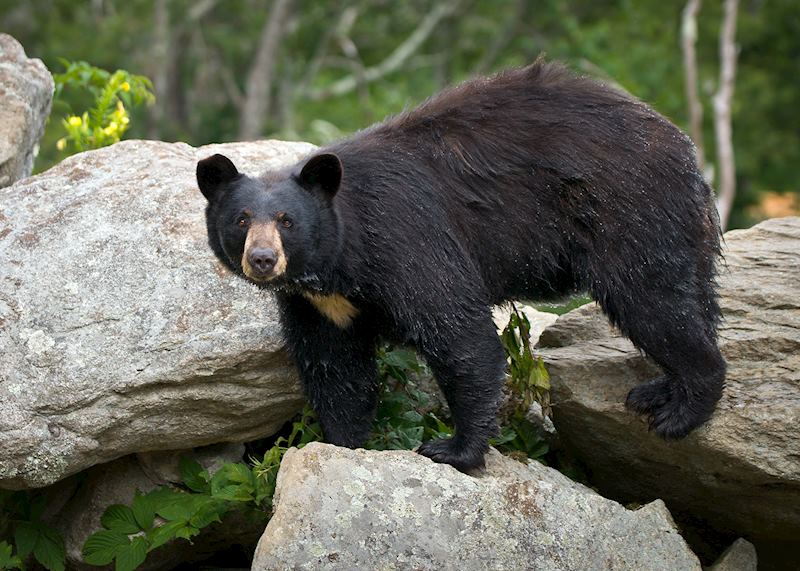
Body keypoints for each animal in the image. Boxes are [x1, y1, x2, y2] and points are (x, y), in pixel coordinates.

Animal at [198, 59, 724, 474]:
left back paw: (680, 409)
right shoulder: (319, 304)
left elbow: (459, 335)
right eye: (242, 219)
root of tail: (683, 147)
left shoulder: (406, 240)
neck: (341, 261)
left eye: (286, 221)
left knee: (652, 302)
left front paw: (454, 449)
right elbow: (335, 368)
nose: (262, 259)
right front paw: (343, 443)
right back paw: (658, 391)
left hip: (628, 212)